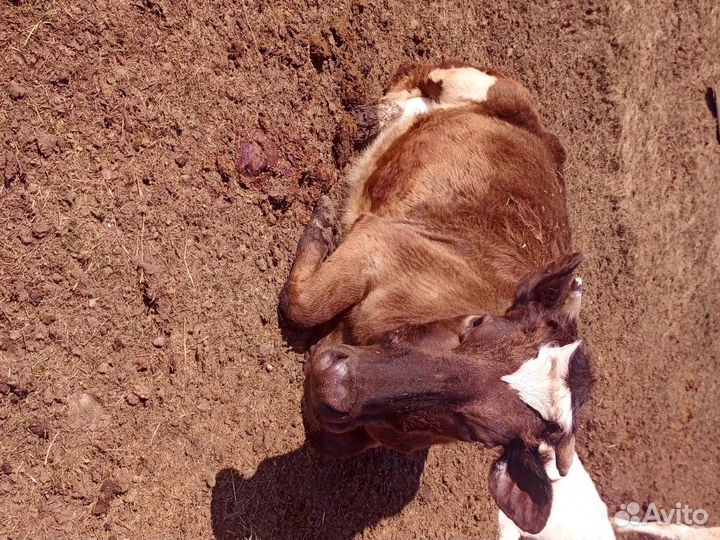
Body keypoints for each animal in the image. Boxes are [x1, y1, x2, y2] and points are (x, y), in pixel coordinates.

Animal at [280, 61, 592, 534]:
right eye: (477, 322)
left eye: (479, 431)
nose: (337, 380)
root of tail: (549, 144)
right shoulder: (378, 242)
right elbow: (302, 306)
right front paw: (321, 223)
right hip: (478, 82)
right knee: (417, 82)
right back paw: (368, 118)